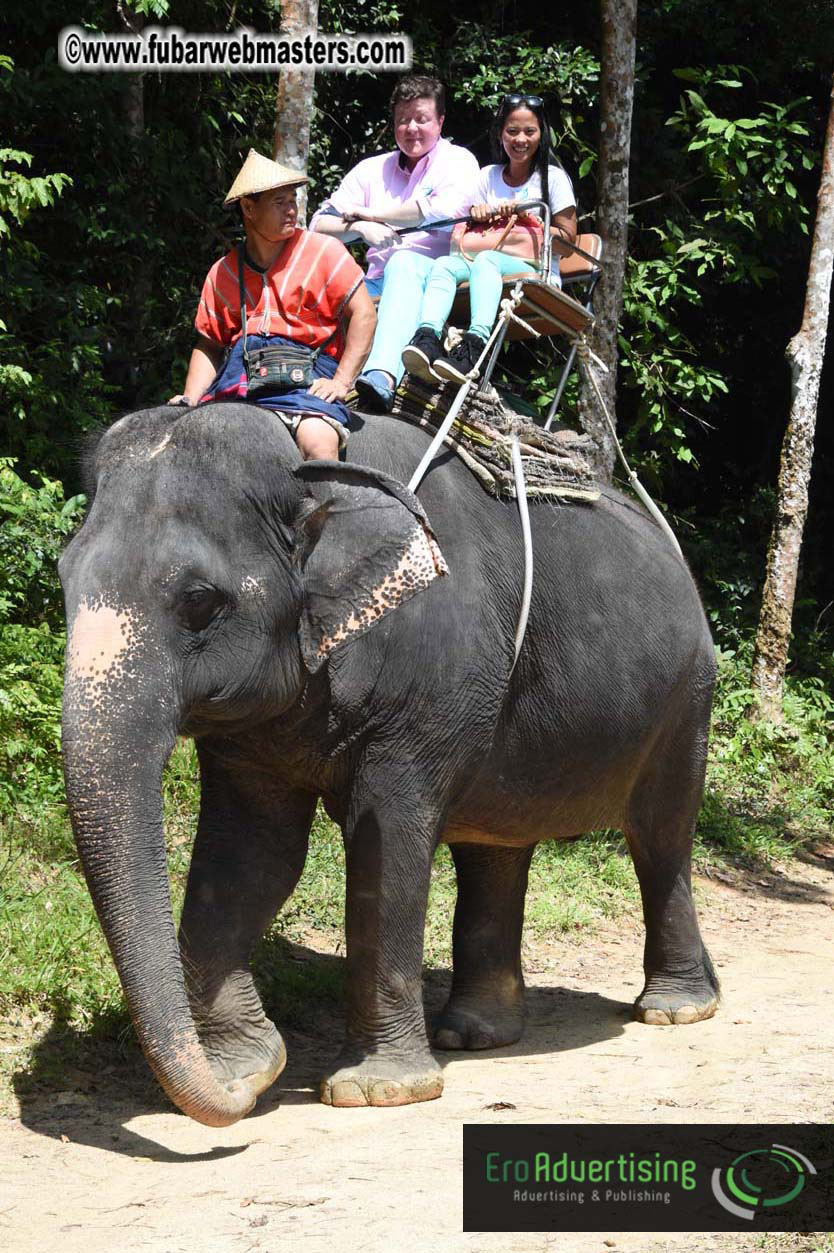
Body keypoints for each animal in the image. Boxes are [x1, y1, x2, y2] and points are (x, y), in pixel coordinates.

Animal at [59, 401, 719, 1128]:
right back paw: (474, 1034)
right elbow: (251, 853)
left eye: (199, 600)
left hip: (687, 699)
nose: (236, 1100)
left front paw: (375, 1090)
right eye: (62, 577)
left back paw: (675, 1009)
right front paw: (247, 1068)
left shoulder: (426, 689)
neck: (312, 473)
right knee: (496, 847)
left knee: (661, 837)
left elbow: (387, 838)